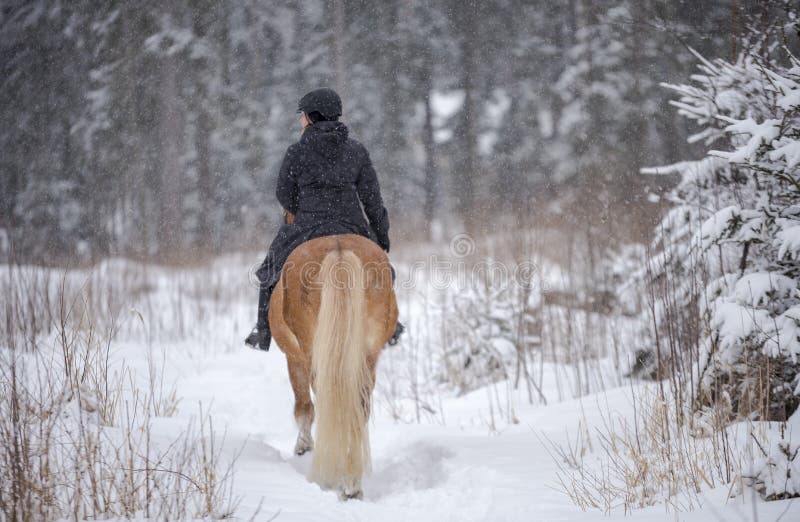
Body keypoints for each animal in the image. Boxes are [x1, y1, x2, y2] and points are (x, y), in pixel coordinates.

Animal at [268, 234, 396, 498]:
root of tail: (339, 251)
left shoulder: (294, 359)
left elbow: (304, 408)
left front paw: (303, 447)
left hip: (311, 357)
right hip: (367, 356)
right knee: (358, 405)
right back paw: (352, 483)